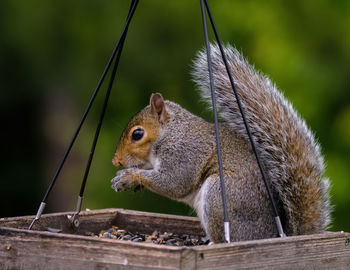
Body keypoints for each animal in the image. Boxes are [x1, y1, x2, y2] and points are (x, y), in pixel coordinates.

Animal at [110, 43, 332, 243]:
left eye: (137, 134)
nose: (116, 162)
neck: (171, 132)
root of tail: (274, 235)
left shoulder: (184, 152)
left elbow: (174, 182)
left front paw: (129, 176)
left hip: (220, 194)